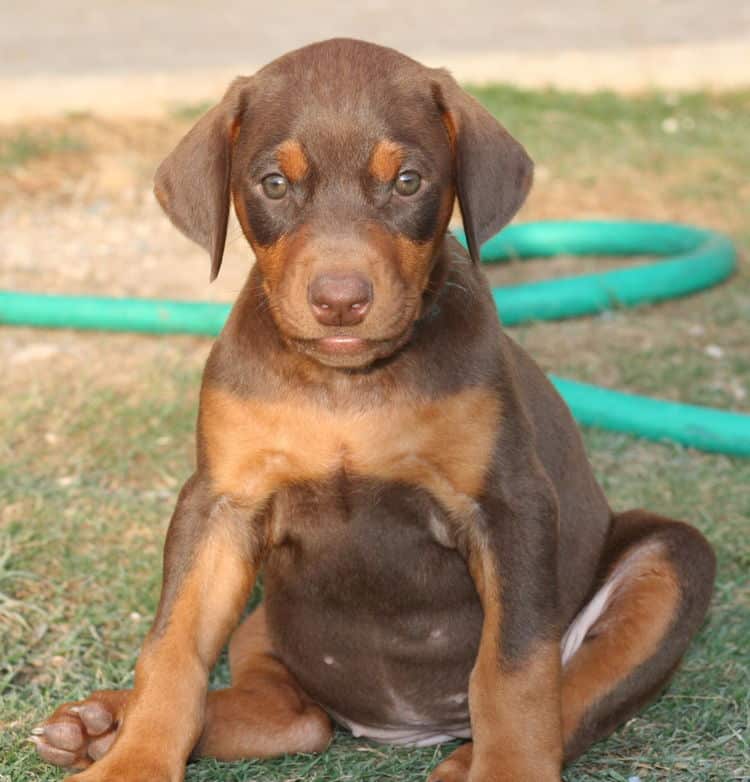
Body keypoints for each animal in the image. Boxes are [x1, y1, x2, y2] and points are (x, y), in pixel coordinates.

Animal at [33, 38, 716, 782]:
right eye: (275, 184)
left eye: (409, 182)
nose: (339, 300)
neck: (347, 384)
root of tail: (398, 728)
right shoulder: (220, 505)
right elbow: (173, 647)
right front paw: (135, 758)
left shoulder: (510, 505)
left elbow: (512, 673)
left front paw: (509, 766)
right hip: (269, 620)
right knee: (295, 719)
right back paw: (100, 724)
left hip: (672, 561)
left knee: (576, 689)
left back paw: (468, 761)